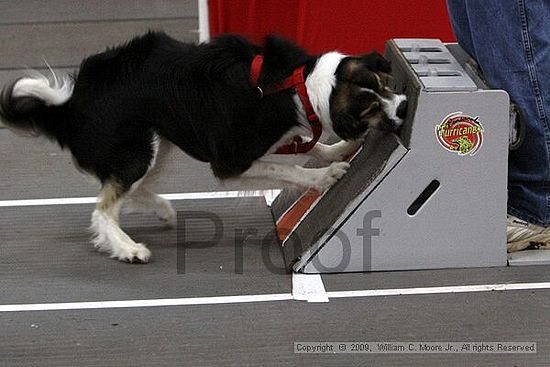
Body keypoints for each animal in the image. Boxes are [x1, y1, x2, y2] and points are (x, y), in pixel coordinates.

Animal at [0, 30, 406, 262]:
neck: (298, 85)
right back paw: (127, 248)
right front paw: (327, 175)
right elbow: (288, 167)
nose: (403, 107)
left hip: (159, 139)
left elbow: (306, 149)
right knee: (103, 208)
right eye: (371, 108)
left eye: (385, 84)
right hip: (138, 148)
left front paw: (334, 151)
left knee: (127, 190)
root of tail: (70, 105)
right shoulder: (230, 160)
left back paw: (161, 210)